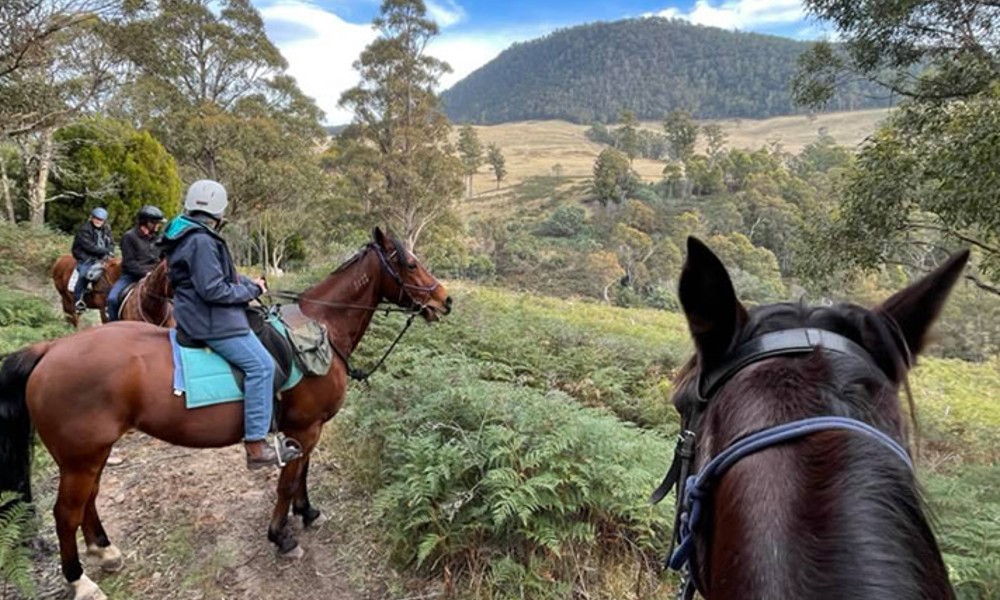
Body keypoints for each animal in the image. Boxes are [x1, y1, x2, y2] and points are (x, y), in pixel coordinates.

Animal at [0, 227, 454, 596]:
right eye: (410, 264)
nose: (445, 300)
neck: (319, 330)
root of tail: (50, 350)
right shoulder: (304, 429)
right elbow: (287, 483)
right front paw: (281, 536)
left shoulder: (307, 431)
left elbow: (302, 474)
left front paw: (307, 512)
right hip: (80, 456)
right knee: (65, 513)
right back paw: (80, 580)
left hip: (90, 453)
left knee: (87, 501)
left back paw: (104, 550)